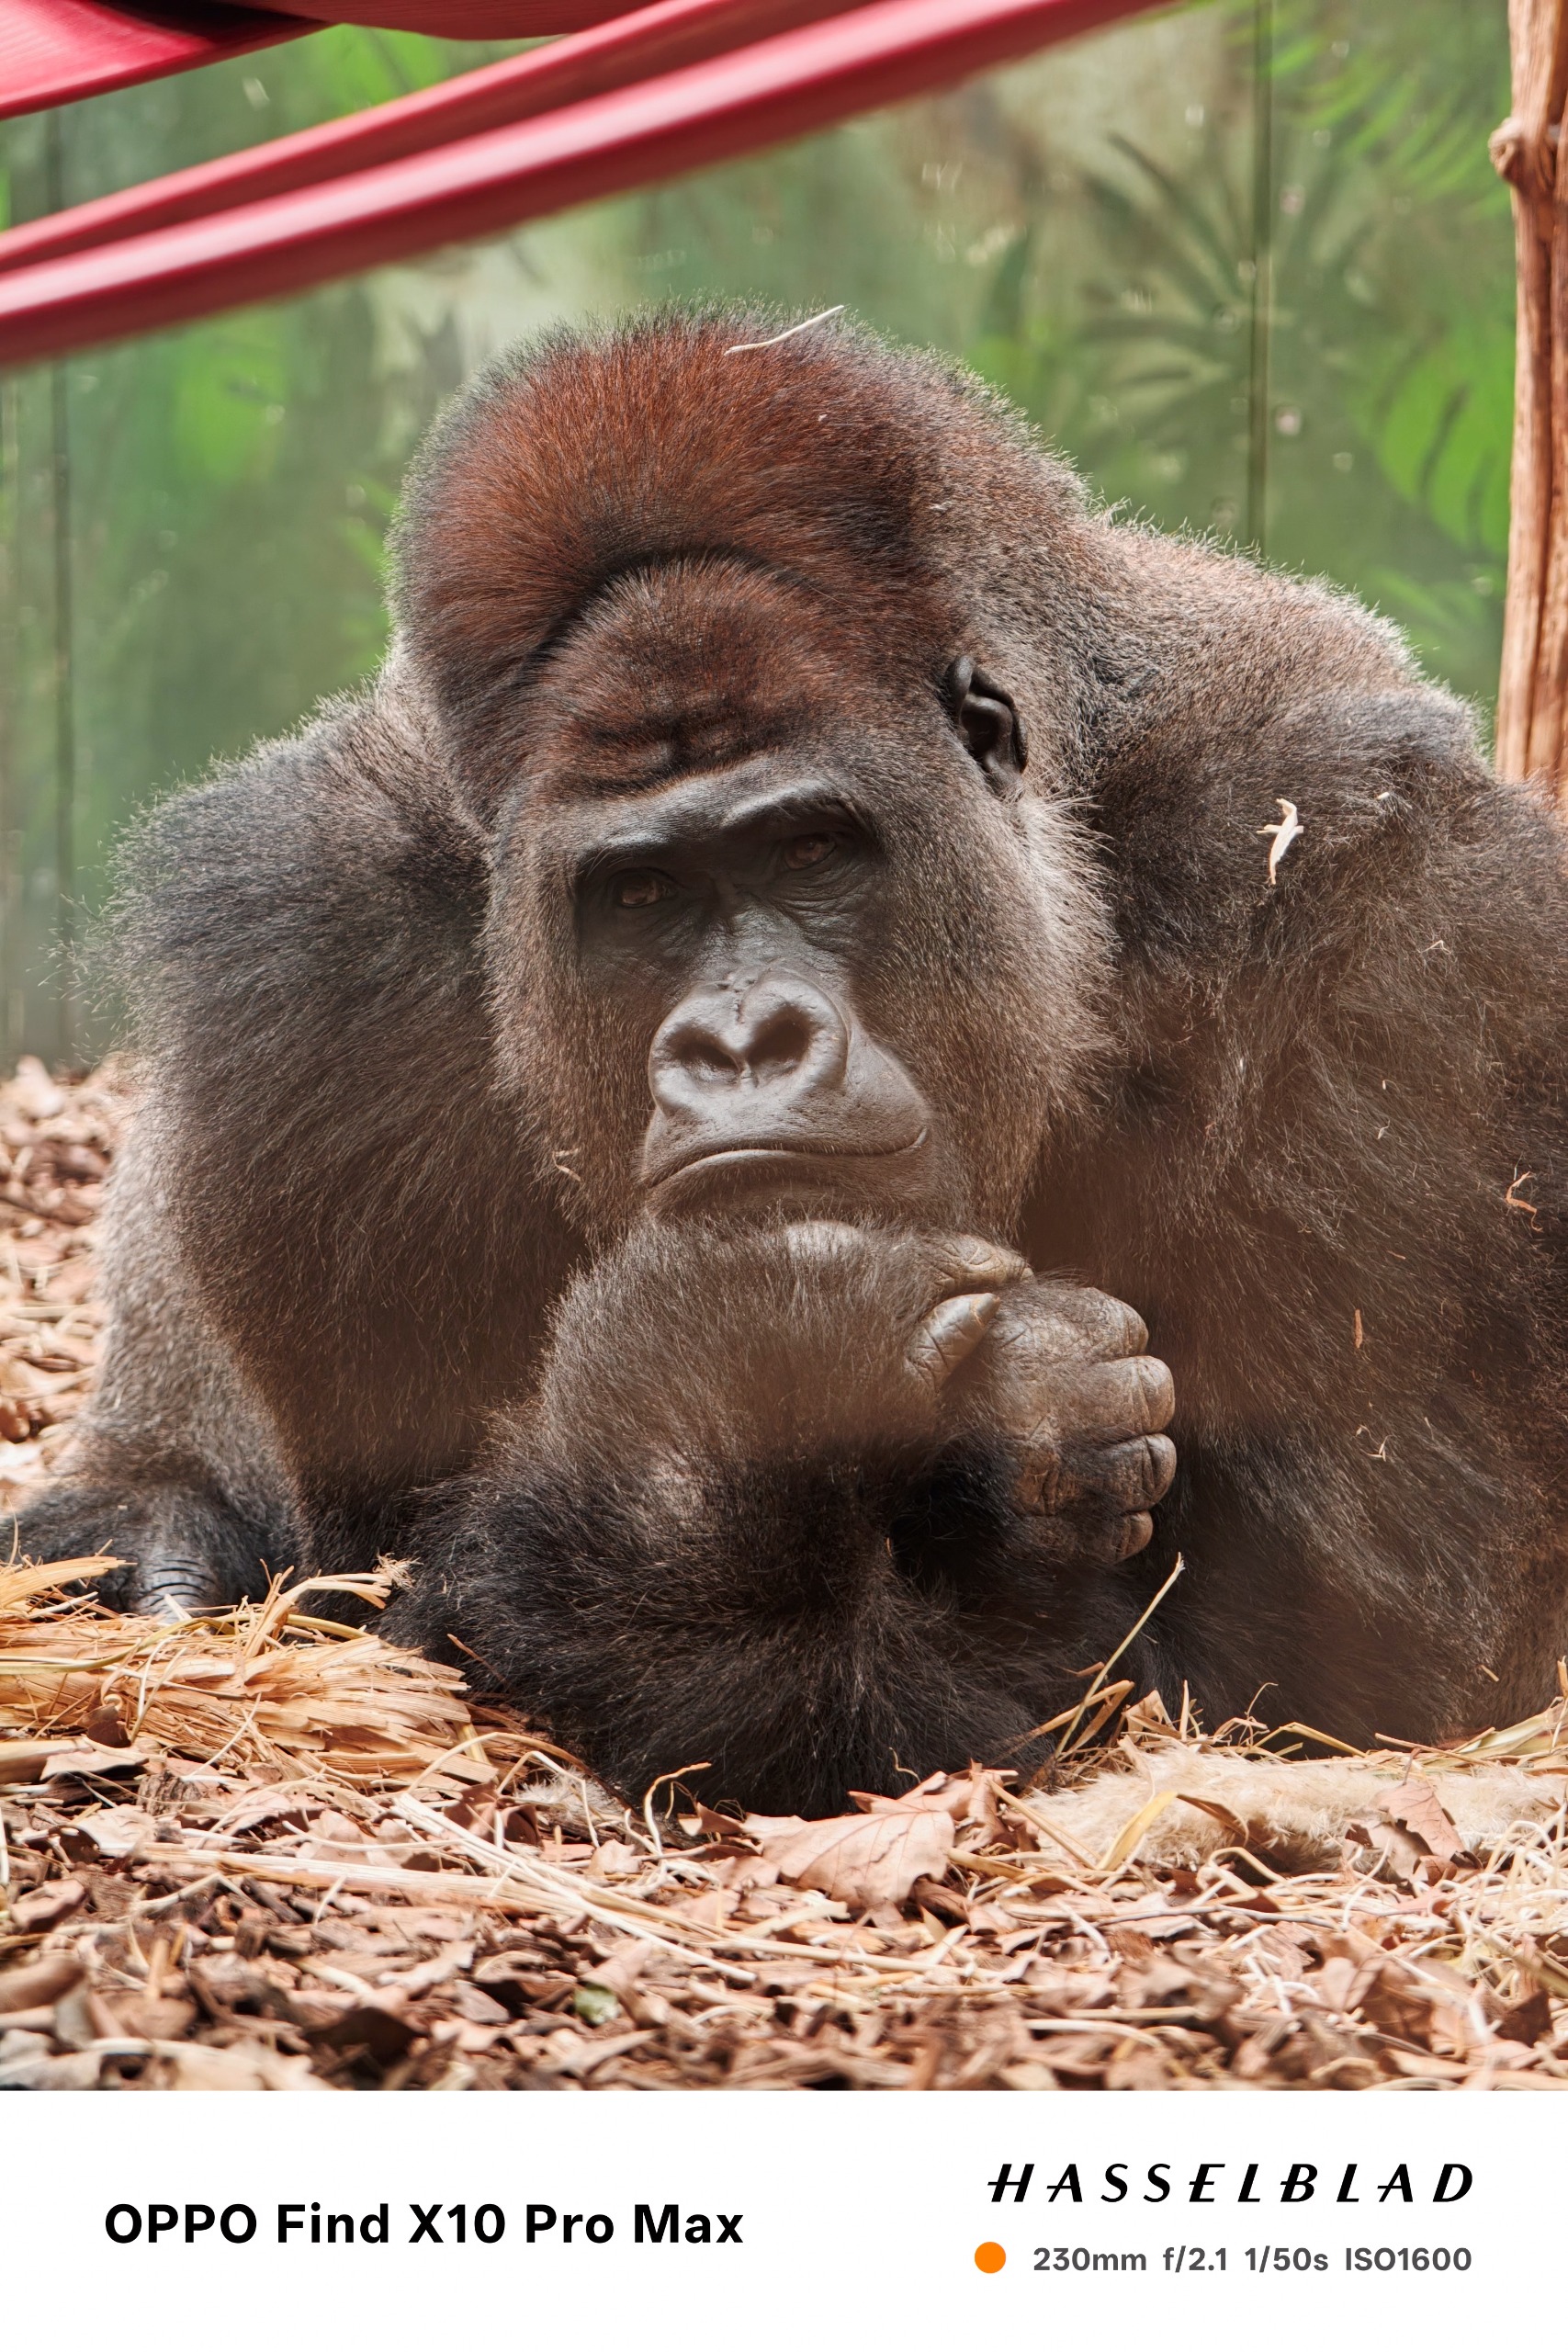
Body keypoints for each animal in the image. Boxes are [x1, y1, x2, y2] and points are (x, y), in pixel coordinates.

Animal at [9, 307, 1568, 1814]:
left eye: (812, 850)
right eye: (639, 894)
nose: (742, 1040)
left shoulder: (1372, 898)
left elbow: (1326, 1650)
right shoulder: (309, 966)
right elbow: (404, 1576)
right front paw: (748, 1409)